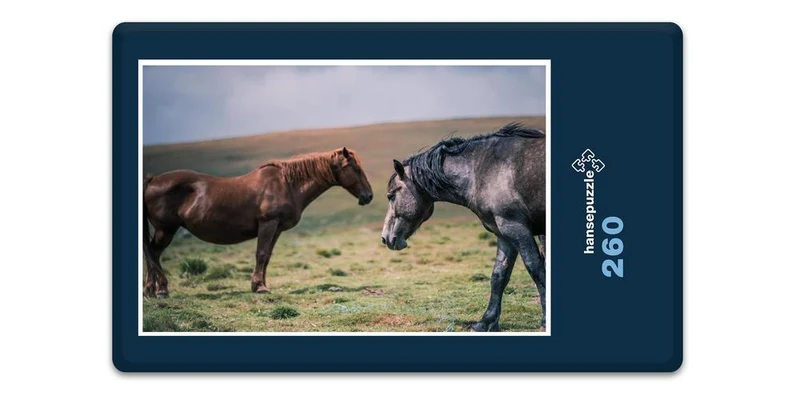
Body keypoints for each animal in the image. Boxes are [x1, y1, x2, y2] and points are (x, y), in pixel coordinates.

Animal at [143, 147, 373, 298]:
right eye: (355, 168)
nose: (368, 196)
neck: (286, 184)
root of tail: (153, 180)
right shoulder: (268, 224)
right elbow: (261, 254)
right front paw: (259, 287)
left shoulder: (277, 229)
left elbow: (267, 256)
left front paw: (260, 284)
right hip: (166, 229)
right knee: (153, 253)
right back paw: (162, 289)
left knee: (152, 253)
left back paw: (150, 289)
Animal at [380, 123, 546, 331]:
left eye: (391, 196)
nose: (385, 238)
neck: (483, 170)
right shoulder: (504, 234)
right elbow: (499, 276)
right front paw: (486, 322)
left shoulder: (517, 229)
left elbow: (536, 270)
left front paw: (545, 321)